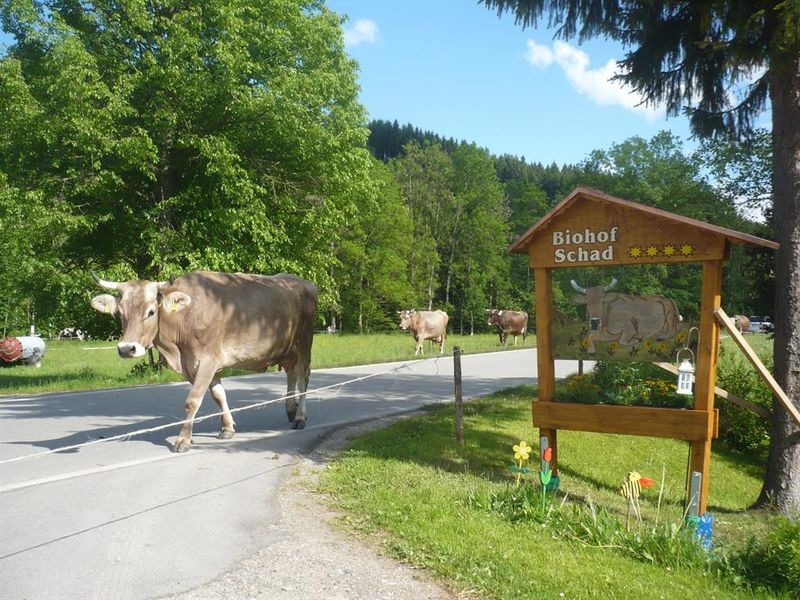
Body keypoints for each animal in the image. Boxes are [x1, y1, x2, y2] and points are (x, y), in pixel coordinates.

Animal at [90, 270, 316, 450]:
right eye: (119, 313)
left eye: (151, 311)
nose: (126, 348)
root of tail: (302, 281)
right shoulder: (195, 365)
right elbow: (218, 395)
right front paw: (227, 428)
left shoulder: (208, 360)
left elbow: (193, 400)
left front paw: (183, 440)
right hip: (288, 348)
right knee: (291, 373)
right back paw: (291, 409)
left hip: (304, 339)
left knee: (303, 377)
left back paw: (299, 417)